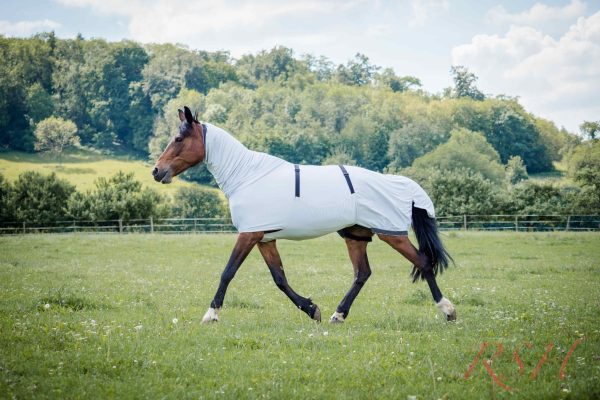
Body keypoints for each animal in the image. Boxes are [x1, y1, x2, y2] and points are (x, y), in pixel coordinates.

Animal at [152, 104, 458, 324]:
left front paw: (211, 314)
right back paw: (338, 315)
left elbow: (228, 272)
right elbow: (279, 278)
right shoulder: (264, 239)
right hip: (355, 235)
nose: (157, 171)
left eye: (178, 138)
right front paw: (312, 309)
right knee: (362, 273)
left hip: (391, 233)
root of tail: (402, 185)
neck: (247, 176)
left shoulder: (249, 235)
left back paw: (448, 310)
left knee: (423, 262)